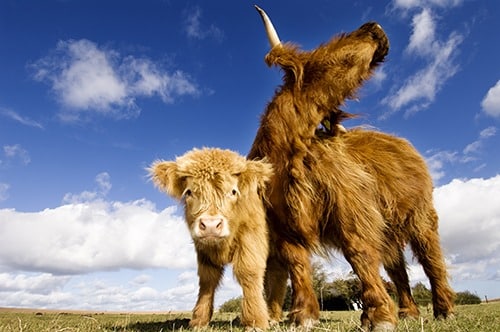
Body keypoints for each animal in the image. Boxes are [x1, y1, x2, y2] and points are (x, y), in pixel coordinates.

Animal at [149, 148, 272, 330]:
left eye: (233, 191)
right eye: (189, 192)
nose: (211, 225)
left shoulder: (251, 238)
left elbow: (249, 272)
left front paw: (255, 321)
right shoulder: (203, 249)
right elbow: (207, 279)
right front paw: (199, 320)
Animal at [252, 6, 456, 330]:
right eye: (327, 55)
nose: (374, 27)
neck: (290, 156)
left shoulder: (350, 208)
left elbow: (358, 252)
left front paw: (380, 315)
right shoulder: (284, 224)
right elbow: (296, 263)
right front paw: (304, 315)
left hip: (421, 214)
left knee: (430, 256)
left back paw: (444, 309)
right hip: (389, 226)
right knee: (396, 265)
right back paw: (406, 312)